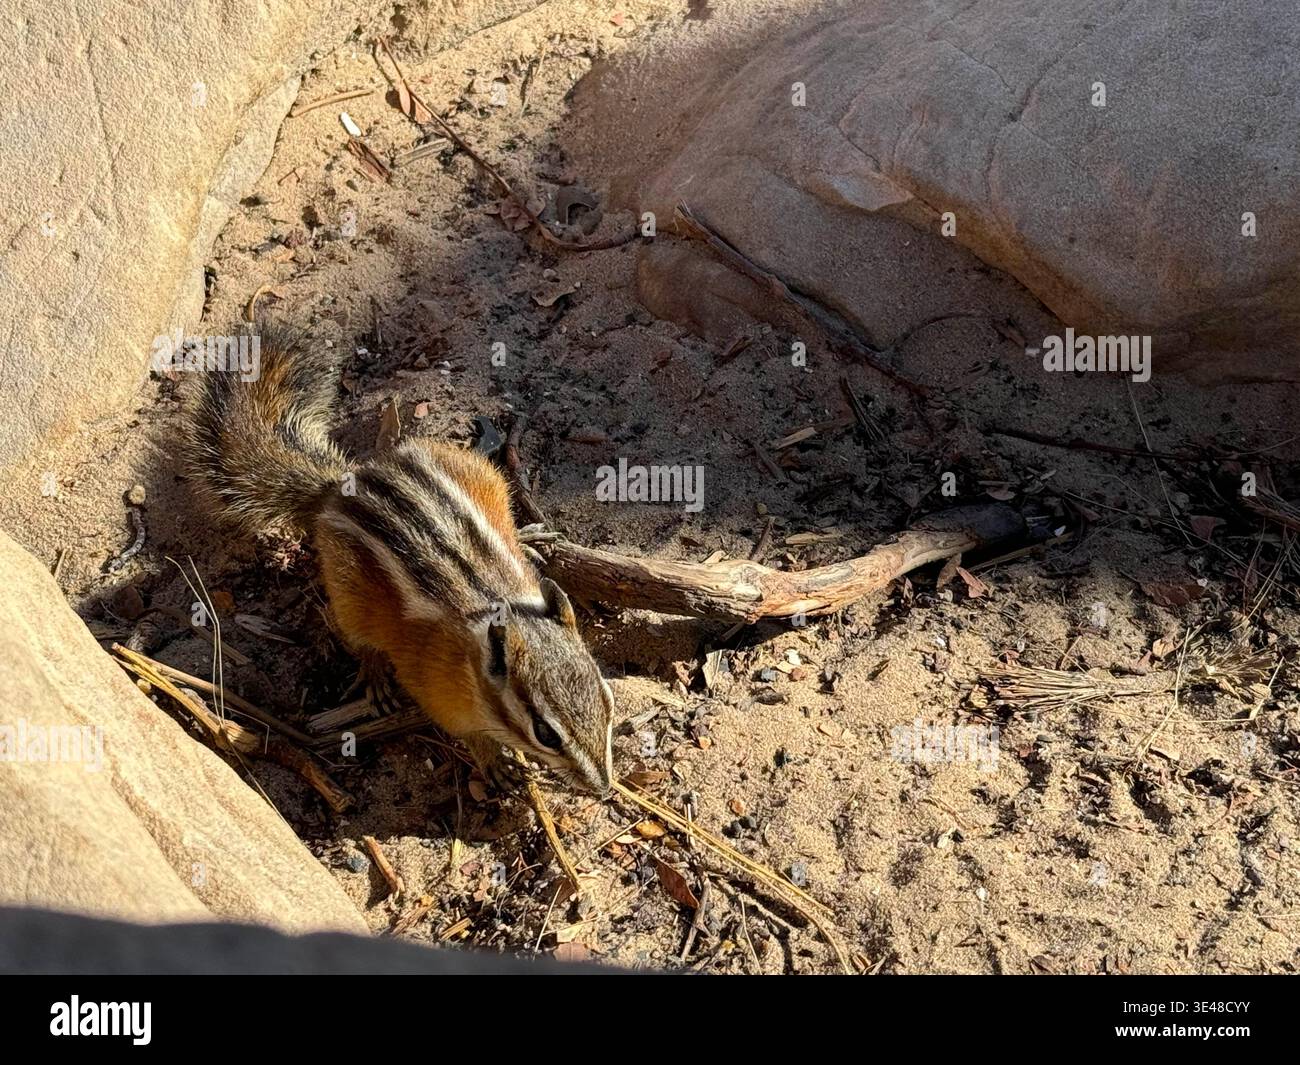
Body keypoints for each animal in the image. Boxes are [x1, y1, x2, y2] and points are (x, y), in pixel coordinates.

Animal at [183, 326, 614, 795]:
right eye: (546, 733)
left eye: (606, 697)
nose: (604, 786)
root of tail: (341, 484)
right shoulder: (437, 692)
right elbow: (467, 734)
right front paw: (494, 762)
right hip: (348, 593)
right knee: (357, 637)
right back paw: (375, 678)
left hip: (475, 470)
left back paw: (527, 535)